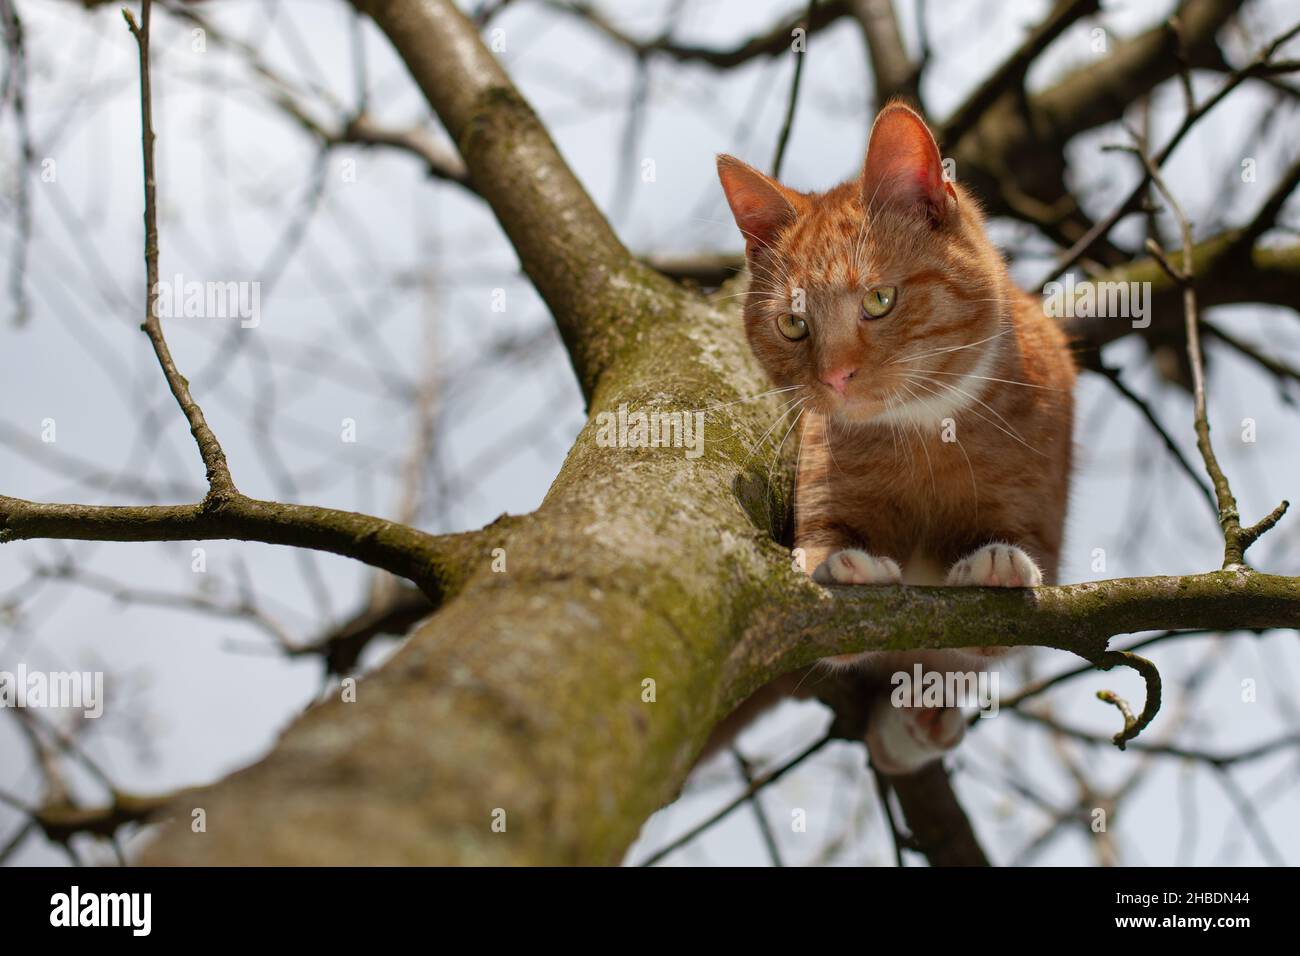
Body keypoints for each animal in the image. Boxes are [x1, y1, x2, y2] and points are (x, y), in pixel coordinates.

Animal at [717, 102, 1071, 780]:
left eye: (879, 300)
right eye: (793, 324)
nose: (834, 377)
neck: (926, 433)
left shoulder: (1038, 521)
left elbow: (997, 616)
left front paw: (995, 564)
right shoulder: (823, 497)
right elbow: (825, 558)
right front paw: (842, 564)